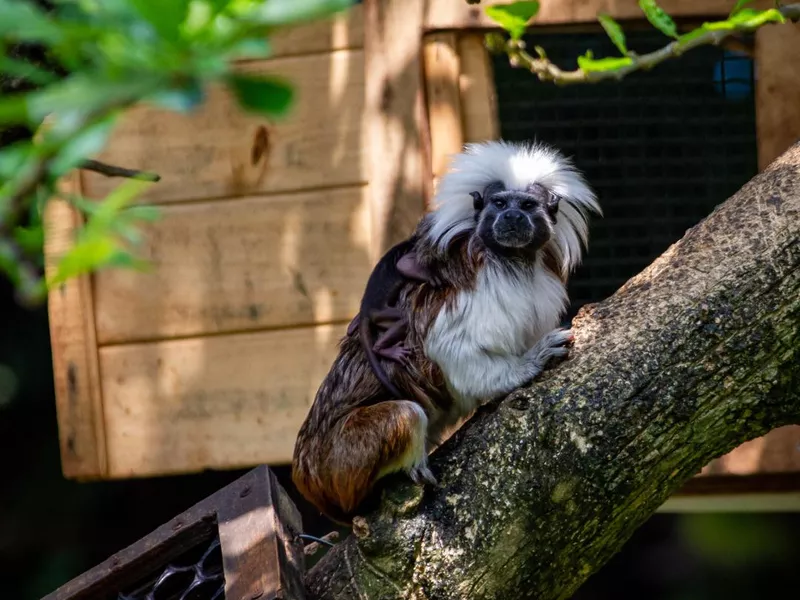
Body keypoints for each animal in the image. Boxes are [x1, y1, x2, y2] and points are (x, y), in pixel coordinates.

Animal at [292, 141, 600, 524]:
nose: (512, 218)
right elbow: (455, 353)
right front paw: (530, 363)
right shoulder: (471, 295)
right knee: (404, 414)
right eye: (500, 204)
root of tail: (305, 474)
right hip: (338, 462)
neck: (512, 264)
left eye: (528, 205)